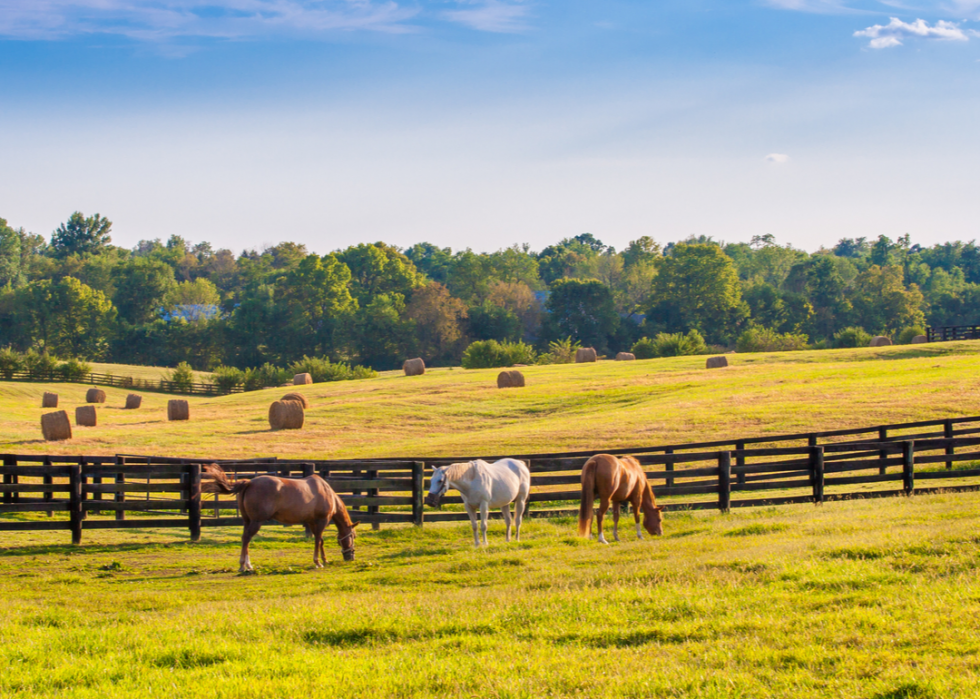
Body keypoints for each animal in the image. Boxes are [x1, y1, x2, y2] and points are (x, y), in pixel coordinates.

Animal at [201, 464, 358, 576]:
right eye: (353, 536)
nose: (350, 557)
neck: (327, 492)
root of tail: (249, 483)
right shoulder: (321, 521)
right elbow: (318, 540)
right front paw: (318, 562)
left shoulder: (312, 522)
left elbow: (321, 541)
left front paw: (324, 559)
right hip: (256, 521)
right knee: (246, 538)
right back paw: (243, 565)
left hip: (247, 521)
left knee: (245, 539)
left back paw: (247, 564)